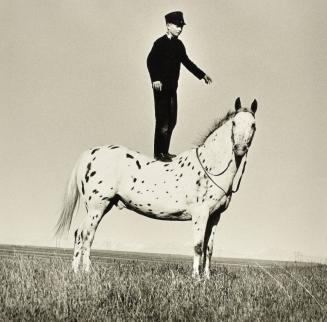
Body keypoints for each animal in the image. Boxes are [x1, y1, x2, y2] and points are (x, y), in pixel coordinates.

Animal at [55, 97, 258, 278]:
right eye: (234, 123)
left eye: (253, 125)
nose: (240, 148)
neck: (209, 167)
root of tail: (89, 154)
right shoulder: (200, 215)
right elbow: (198, 247)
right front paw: (196, 278)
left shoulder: (215, 216)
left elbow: (209, 248)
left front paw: (207, 278)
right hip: (97, 207)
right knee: (87, 235)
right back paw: (87, 272)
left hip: (101, 207)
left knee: (79, 234)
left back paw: (76, 272)